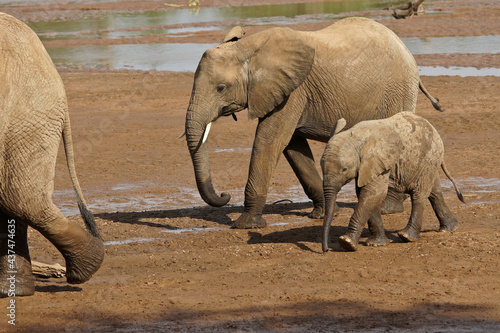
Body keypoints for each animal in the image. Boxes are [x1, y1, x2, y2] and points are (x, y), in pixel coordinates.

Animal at [186, 16, 444, 228]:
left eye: (221, 88)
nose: (224, 195)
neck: (248, 47)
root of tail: (405, 47)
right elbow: (293, 147)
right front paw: (324, 213)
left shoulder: (293, 92)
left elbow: (269, 140)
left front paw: (246, 224)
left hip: (398, 91)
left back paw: (388, 208)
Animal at [320, 111, 464, 252]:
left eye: (344, 169)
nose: (326, 249)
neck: (356, 135)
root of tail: (434, 129)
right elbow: (367, 194)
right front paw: (376, 244)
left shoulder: (379, 160)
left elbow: (373, 193)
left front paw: (347, 243)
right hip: (428, 161)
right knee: (434, 192)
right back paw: (449, 228)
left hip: (429, 156)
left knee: (419, 194)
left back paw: (407, 236)